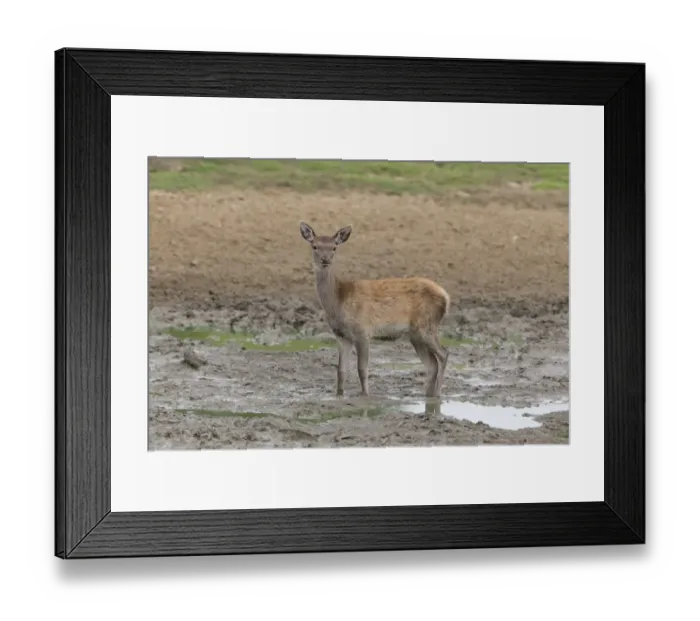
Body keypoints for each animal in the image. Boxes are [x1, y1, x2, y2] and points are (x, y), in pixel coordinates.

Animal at [299, 221, 450, 399]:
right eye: (315, 246)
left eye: (334, 247)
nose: (325, 260)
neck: (339, 301)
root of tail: (446, 297)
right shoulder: (342, 336)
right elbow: (341, 371)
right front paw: (339, 396)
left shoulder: (363, 331)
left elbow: (362, 369)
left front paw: (365, 395)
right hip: (415, 335)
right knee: (432, 364)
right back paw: (428, 396)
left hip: (427, 325)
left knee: (443, 354)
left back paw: (438, 395)